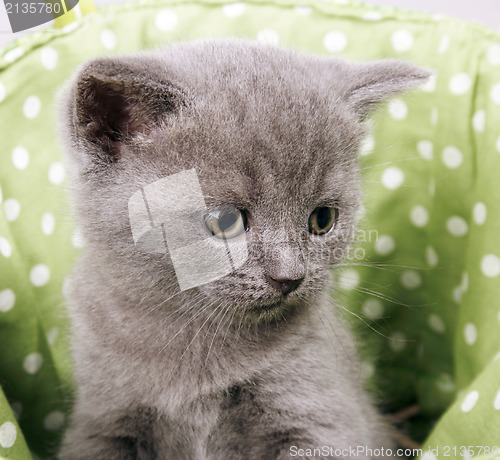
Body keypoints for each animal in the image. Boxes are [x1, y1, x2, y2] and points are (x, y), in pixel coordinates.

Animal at [57, 40, 426, 460]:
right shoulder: (103, 419)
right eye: (224, 221)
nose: (290, 276)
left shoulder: (321, 415)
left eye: (323, 219)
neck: (197, 341)